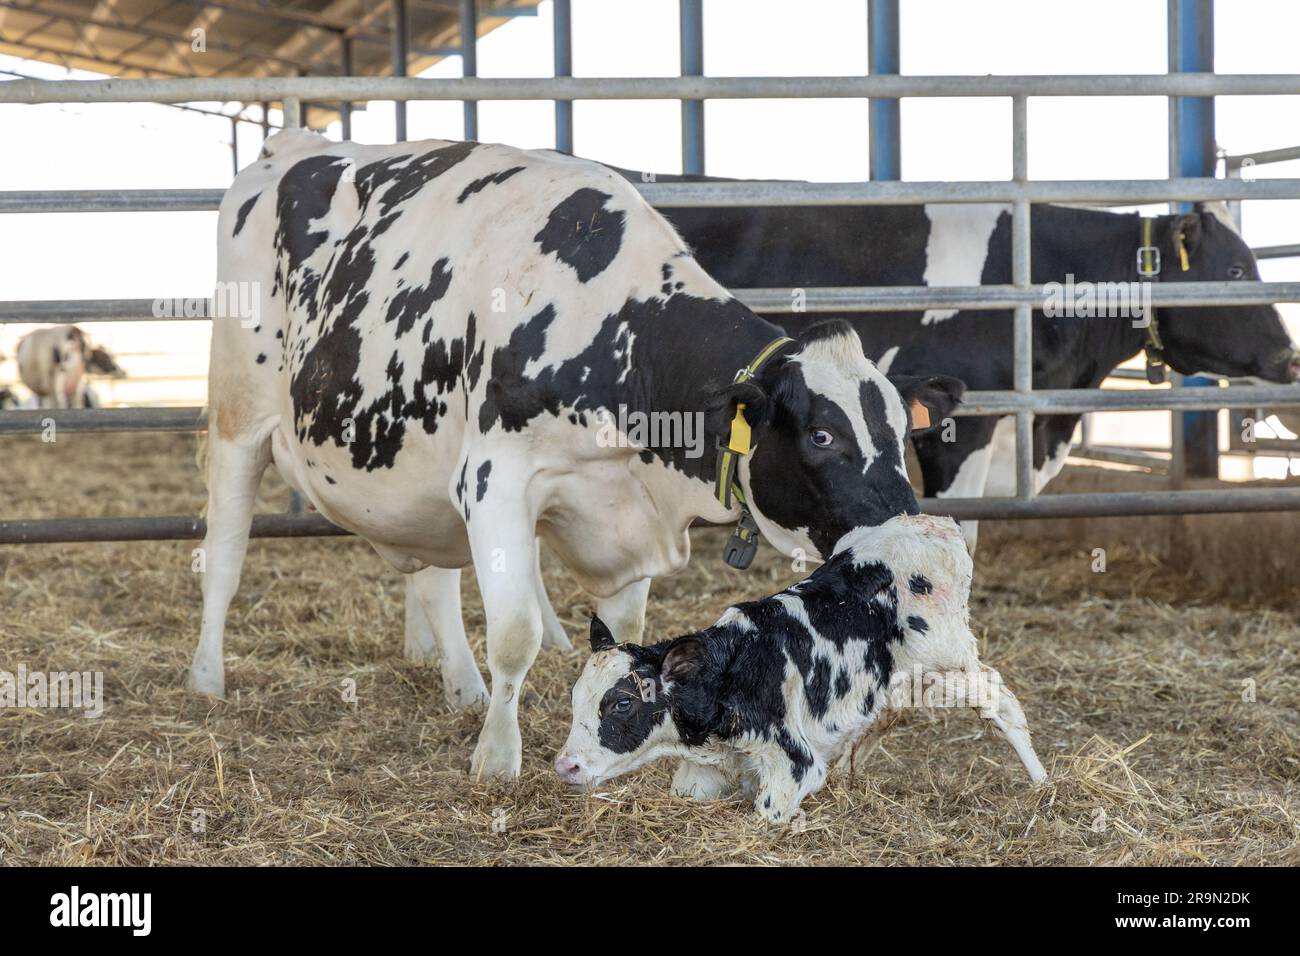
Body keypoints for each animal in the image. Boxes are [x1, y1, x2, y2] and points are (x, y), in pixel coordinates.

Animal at [553, 515, 1050, 822]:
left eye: (621, 703)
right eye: (575, 698)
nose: (565, 766)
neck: (733, 670)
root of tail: (933, 524)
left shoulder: (793, 761)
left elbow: (768, 811)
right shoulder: (709, 771)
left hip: (952, 664)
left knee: (1002, 703)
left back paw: (1043, 783)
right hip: (898, 681)